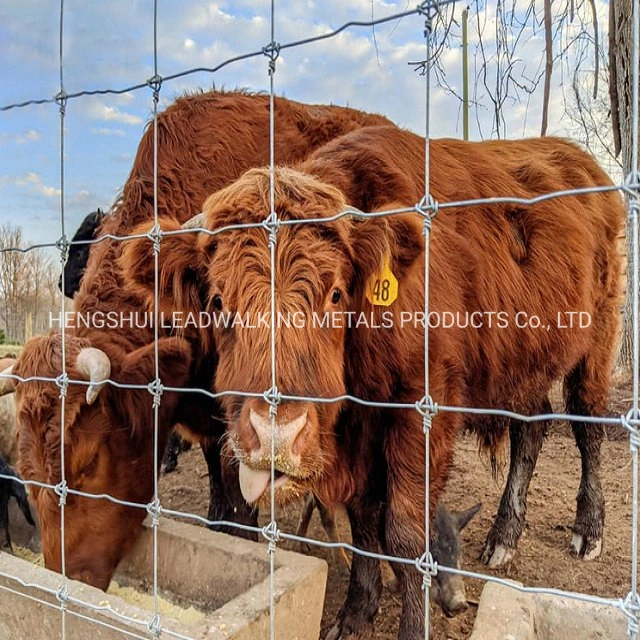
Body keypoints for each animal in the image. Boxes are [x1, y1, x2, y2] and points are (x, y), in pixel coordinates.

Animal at [121, 126, 624, 640]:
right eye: (218, 301)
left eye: (335, 293)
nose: (276, 435)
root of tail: (580, 161)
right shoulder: (358, 432)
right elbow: (363, 520)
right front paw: (356, 611)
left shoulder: (424, 412)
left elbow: (405, 534)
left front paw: (412, 625)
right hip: (525, 369)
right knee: (532, 430)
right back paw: (504, 535)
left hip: (596, 343)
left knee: (587, 426)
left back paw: (589, 529)